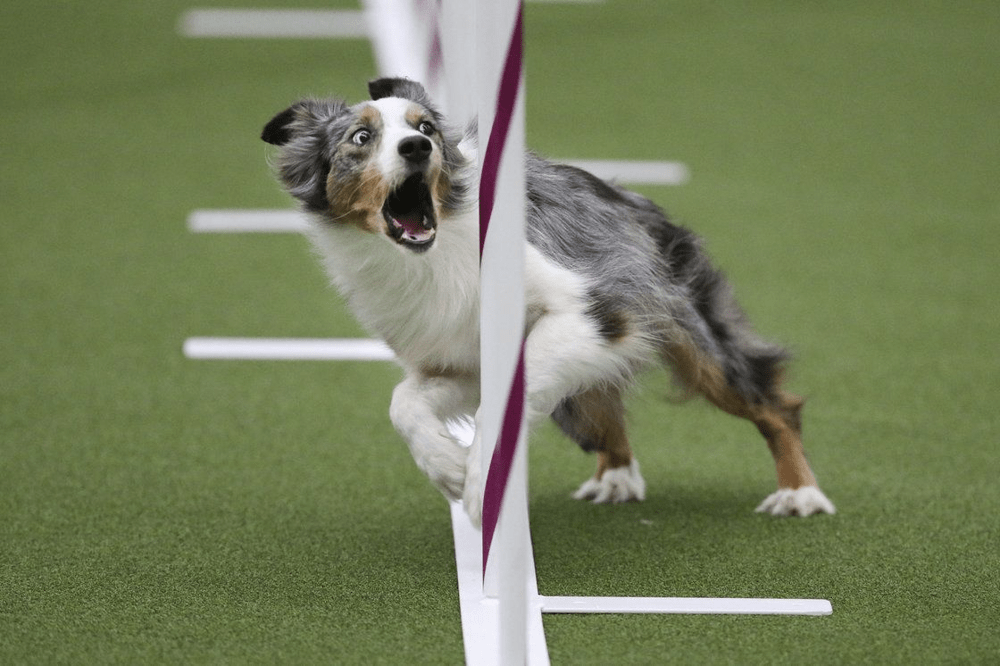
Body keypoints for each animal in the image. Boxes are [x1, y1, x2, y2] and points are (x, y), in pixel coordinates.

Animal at [260, 78, 836, 520]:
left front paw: (478, 486)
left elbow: (505, 398)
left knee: (774, 404)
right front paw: (448, 468)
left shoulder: (592, 312)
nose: (417, 149)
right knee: (605, 410)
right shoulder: (456, 360)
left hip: (688, 333)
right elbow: (403, 403)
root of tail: (634, 200)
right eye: (361, 137)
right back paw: (616, 478)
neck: (432, 252)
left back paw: (799, 492)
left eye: (424, 129)